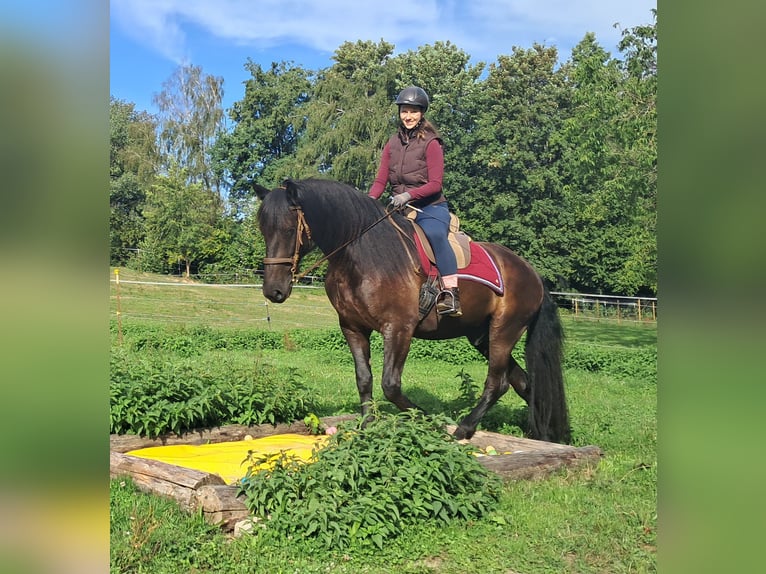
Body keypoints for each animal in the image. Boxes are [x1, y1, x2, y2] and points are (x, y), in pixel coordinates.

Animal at [253, 178, 570, 443]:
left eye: (288, 229)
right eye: (263, 230)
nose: (273, 290)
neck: (362, 254)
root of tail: (531, 272)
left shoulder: (398, 329)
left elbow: (391, 385)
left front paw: (429, 423)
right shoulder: (353, 327)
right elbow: (364, 379)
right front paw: (367, 428)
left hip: (504, 331)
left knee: (497, 383)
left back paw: (464, 429)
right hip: (481, 336)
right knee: (520, 381)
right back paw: (543, 433)